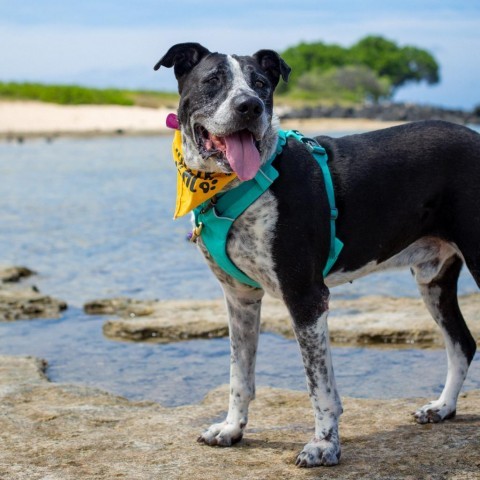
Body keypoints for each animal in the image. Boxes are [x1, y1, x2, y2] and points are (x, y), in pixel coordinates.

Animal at [156, 43, 478, 466]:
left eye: (261, 84)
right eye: (212, 80)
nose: (249, 106)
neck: (234, 186)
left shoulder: (306, 298)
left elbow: (319, 387)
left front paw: (324, 445)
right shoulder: (240, 299)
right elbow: (239, 376)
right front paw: (231, 428)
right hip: (433, 278)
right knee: (462, 343)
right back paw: (442, 407)